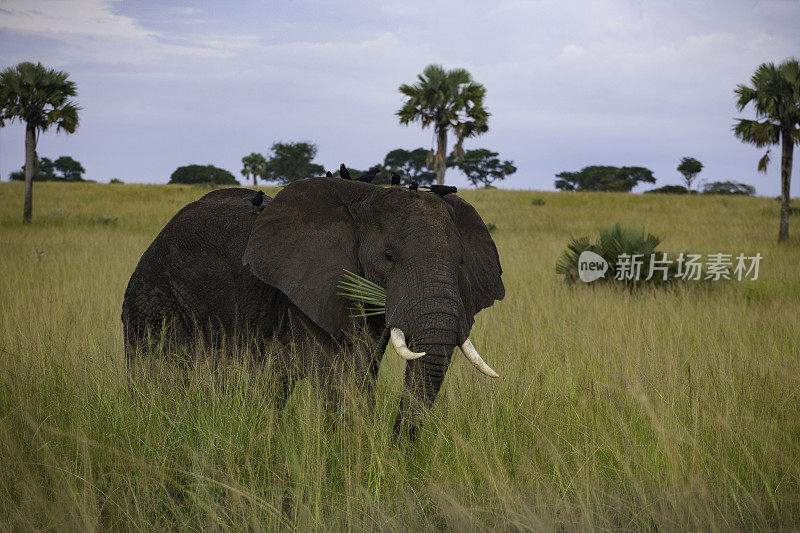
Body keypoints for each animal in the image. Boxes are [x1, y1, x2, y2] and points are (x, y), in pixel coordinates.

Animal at [122, 177, 504, 434]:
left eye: (460, 263)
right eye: (388, 257)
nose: (396, 447)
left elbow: (362, 369)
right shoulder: (302, 294)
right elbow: (339, 376)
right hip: (151, 295)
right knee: (154, 372)